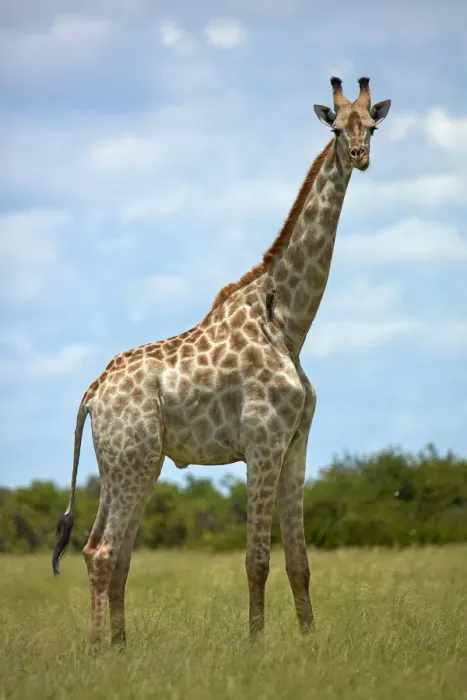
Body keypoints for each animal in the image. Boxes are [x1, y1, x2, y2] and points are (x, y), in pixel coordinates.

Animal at [52, 77, 391, 645]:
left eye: (372, 125)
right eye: (336, 129)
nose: (360, 157)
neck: (289, 325)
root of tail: (92, 393)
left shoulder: (296, 445)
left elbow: (300, 562)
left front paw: (309, 642)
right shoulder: (262, 442)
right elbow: (257, 560)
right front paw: (256, 646)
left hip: (129, 462)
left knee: (109, 552)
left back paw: (118, 647)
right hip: (132, 459)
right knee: (103, 551)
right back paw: (100, 650)